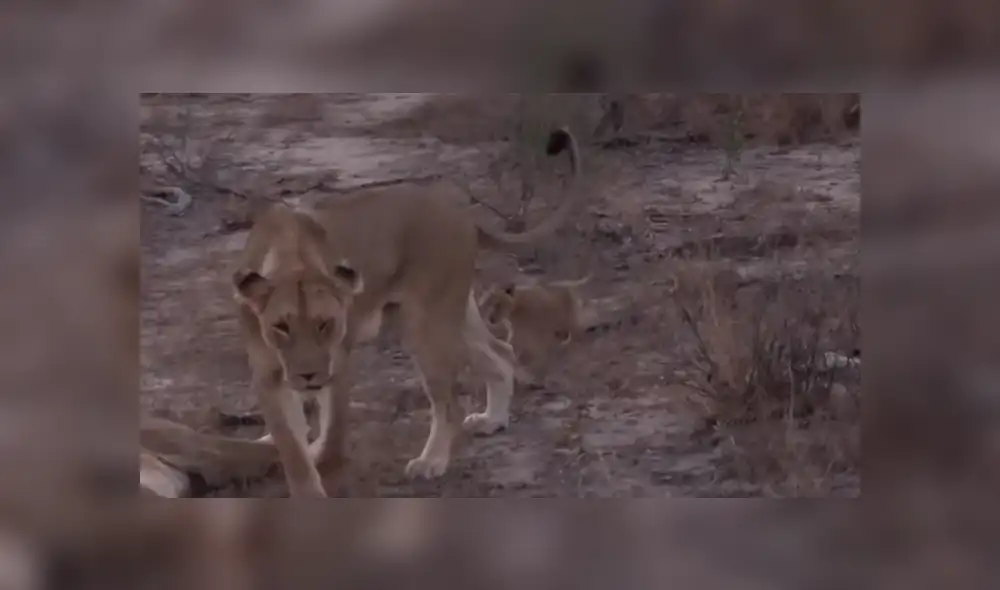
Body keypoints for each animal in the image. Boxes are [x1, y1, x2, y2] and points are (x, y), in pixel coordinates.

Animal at [230, 127, 582, 497]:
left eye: (325, 324)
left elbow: (331, 439)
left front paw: (326, 469)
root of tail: (458, 208)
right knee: (501, 351)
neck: (291, 256)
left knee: (449, 405)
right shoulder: (267, 376)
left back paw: (431, 461)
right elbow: (291, 447)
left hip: (425, 325)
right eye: (281, 327)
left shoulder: (338, 362)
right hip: (454, 313)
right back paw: (493, 420)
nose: (308, 376)